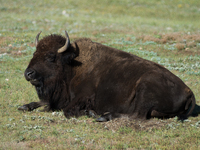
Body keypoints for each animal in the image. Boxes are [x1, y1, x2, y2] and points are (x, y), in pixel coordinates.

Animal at [18, 31, 196, 121]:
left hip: (145, 88)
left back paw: (103, 116)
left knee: (137, 115)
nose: (28, 73)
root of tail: (189, 91)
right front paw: (24, 106)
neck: (72, 65)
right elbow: (43, 102)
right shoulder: (57, 98)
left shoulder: (83, 97)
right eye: (34, 53)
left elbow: (67, 111)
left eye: (50, 56)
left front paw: (90, 113)